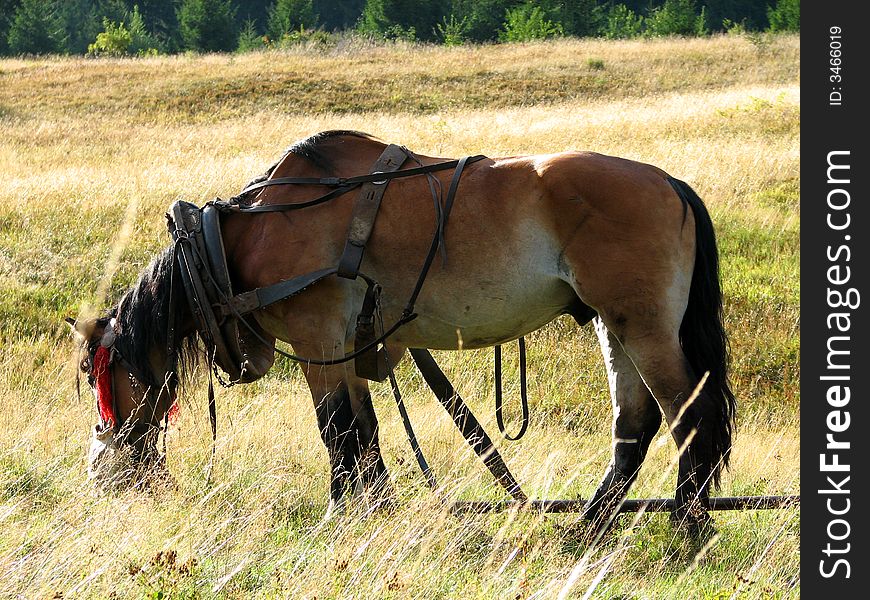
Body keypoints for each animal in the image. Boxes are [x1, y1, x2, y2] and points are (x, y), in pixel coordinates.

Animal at [70, 131, 736, 536]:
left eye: (97, 376)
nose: (99, 474)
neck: (241, 238)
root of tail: (671, 184)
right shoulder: (346, 343)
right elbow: (364, 431)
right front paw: (377, 507)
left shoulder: (316, 336)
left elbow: (337, 429)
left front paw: (338, 515)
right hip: (612, 322)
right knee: (635, 424)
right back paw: (592, 524)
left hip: (643, 324)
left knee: (689, 414)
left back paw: (688, 524)